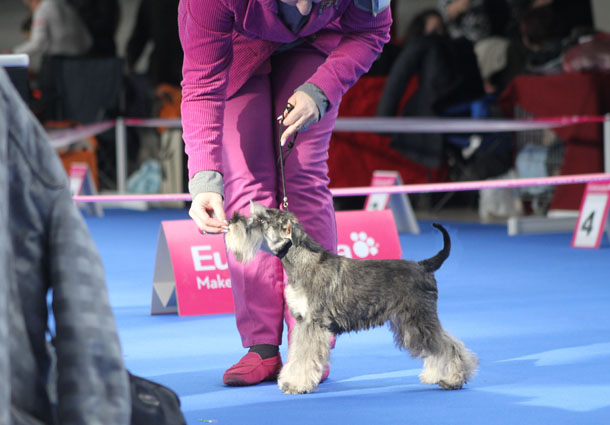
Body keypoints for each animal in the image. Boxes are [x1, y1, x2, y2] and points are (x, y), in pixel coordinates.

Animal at [225, 202, 478, 394]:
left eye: (261, 220)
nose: (231, 221)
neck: (300, 260)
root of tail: (424, 266)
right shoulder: (301, 322)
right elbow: (297, 353)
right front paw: (291, 379)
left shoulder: (312, 323)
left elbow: (304, 356)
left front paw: (296, 384)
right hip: (410, 324)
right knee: (438, 346)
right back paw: (434, 375)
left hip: (419, 319)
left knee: (448, 346)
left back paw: (454, 379)